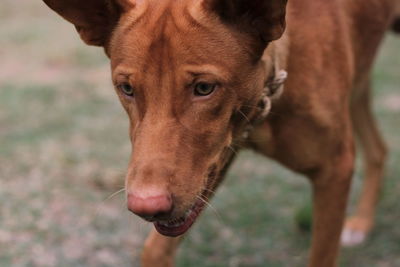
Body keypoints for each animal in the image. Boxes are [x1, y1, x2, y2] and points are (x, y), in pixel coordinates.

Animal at [42, 0, 398, 266]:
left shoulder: (334, 170)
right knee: (378, 148)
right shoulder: (207, 171)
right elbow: (154, 249)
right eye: (127, 89)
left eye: (204, 88)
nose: (145, 206)